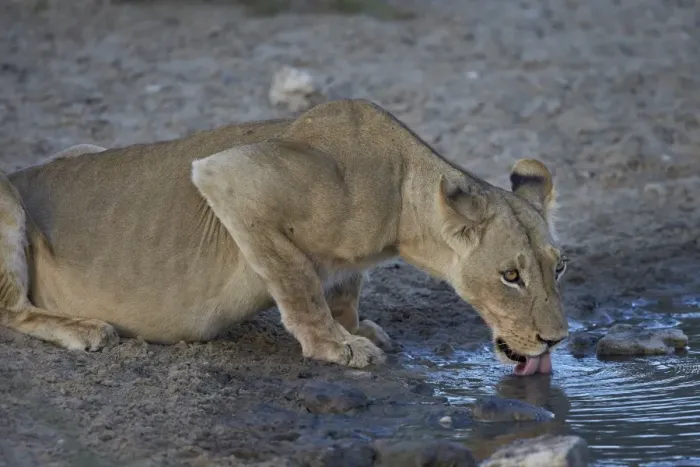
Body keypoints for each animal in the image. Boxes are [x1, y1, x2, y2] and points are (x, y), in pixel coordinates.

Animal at [0, 99, 568, 374]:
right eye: (510, 276)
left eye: (558, 267)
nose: (557, 340)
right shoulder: (230, 177)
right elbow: (299, 283)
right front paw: (336, 346)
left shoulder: (347, 264)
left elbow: (343, 287)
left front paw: (354, 327)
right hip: (7, 205)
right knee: (13, 310)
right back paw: (86, 330)